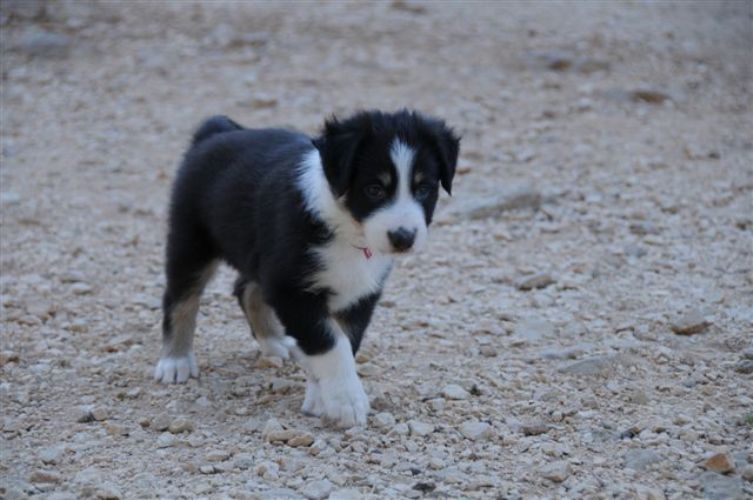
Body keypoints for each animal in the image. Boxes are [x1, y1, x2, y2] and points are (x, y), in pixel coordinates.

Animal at [153, 108, 458, 426]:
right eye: (374, 189)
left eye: (423, 189)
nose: (403, 238)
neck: (348, 229)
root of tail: (215, 132)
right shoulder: (293, 289)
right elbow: (330, 343)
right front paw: (346, 400)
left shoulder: (359, 293)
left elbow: (343, 342)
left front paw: (319, 398)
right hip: (191, 240)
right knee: (180, 298)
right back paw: (176, 361)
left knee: (246, 288)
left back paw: (275, 340)